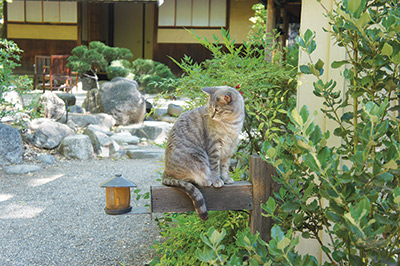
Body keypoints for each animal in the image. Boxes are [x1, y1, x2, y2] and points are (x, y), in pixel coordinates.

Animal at [162, 85, 244, 220]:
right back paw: (206, 181)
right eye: (210, 108)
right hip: (198, 158)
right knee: (191, 178)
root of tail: (165, 172)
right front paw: (217, 181)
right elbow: (215, 168)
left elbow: (224, 167)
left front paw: (226, 178)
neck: (231, 123)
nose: (211, 116)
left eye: (217, 109)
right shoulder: (214, 147)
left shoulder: (229, 149)